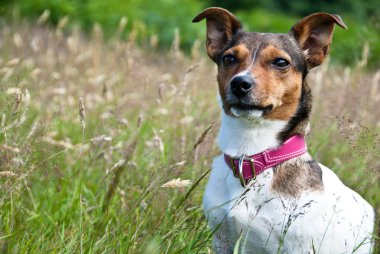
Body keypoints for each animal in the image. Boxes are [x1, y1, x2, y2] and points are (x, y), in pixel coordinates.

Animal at [193, 6, 374, 253]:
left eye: (280, 62)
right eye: (229, 58)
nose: (239, 84)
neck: (250, 154)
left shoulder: (297, 247)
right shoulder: (222, 240)